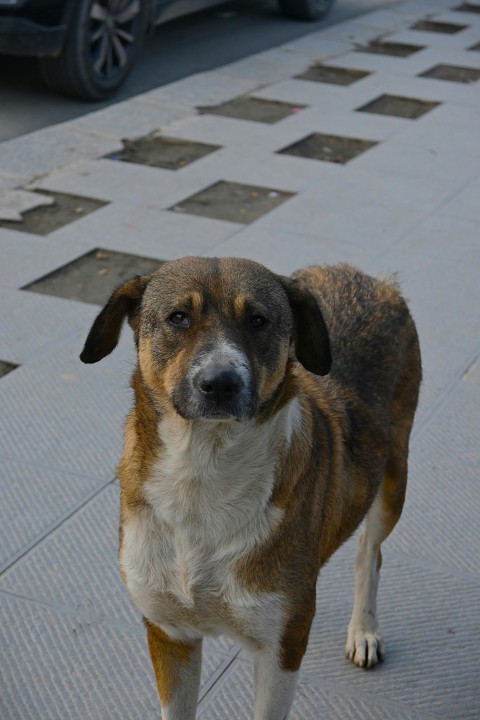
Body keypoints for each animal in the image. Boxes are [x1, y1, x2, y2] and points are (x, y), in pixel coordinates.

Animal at [81, 258, 420, 720]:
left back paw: (364, 630)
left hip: (393, 479)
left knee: (371, 548)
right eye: (178, 317)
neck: (202, 474)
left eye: (258, 320)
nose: (220, 383)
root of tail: (365, 277)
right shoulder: (170, 634)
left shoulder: (281, 647)